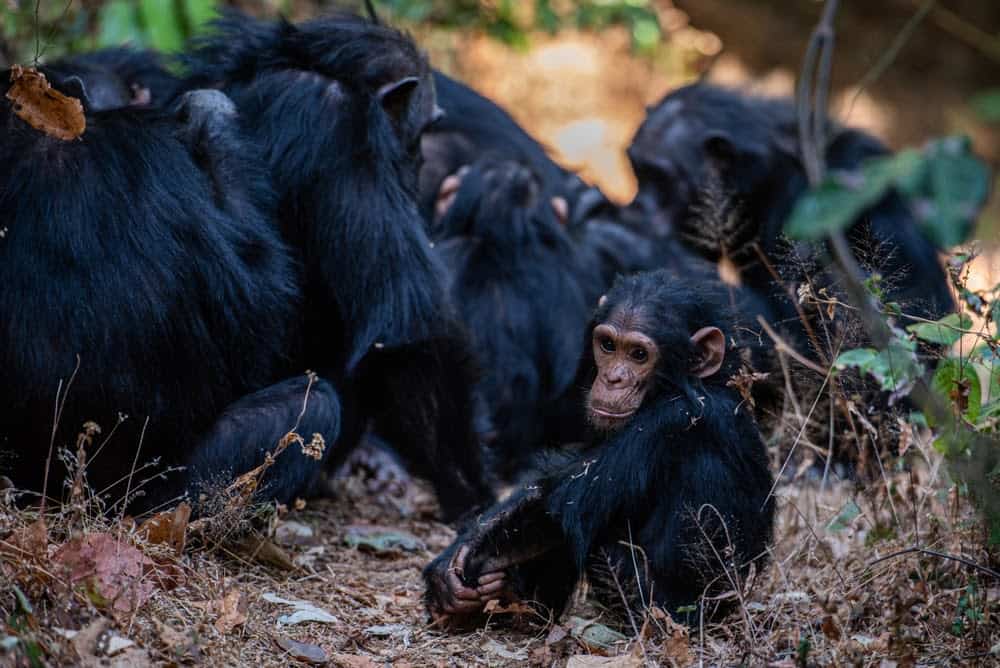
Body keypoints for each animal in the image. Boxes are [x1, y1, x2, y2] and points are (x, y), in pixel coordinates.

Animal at [422, 270, 772, 628]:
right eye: (608, 346)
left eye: (638, 355)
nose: (613, 379)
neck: (695, 384)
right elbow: (559, 476)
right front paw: (456, 558)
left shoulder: (670, 419)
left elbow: (562, 504)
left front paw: (464, 561)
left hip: (664, 609)